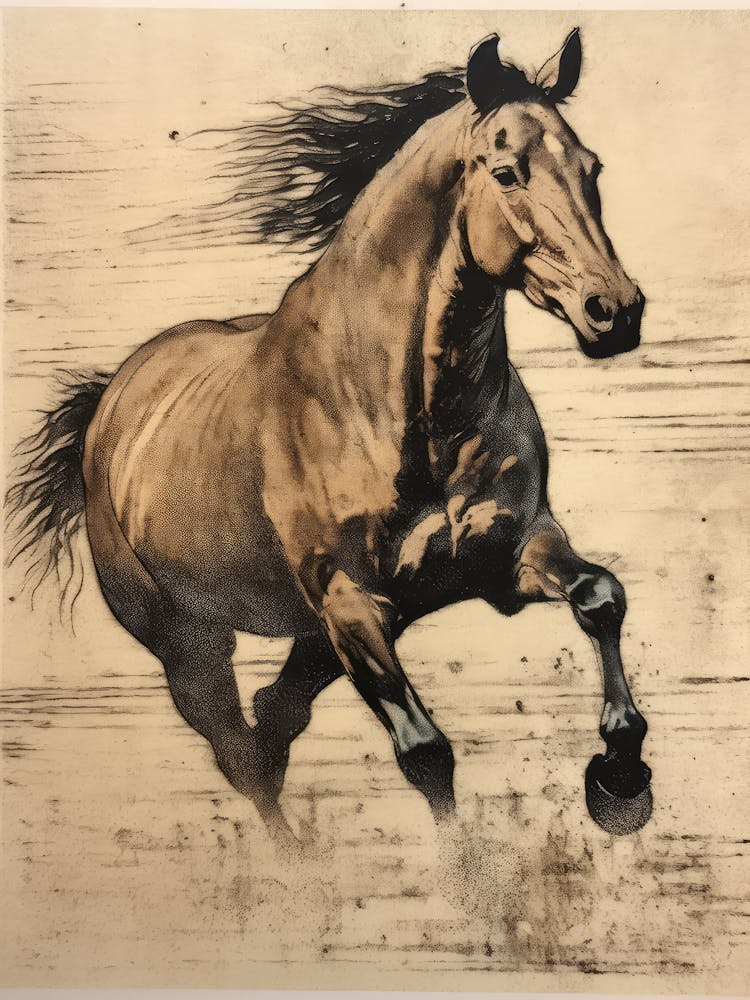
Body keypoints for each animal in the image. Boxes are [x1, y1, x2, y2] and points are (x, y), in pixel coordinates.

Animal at [7, 30, 652, 845]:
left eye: (591, 167)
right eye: (508, 172)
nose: (615, 310)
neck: (405, 412)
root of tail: (110, 406)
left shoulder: (512, 552)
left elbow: (601, 595)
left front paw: (621, 775)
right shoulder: (349, 603)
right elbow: (426, 754)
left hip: (310, 641)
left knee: (272, 725)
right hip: (191, 641)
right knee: (240, 750)